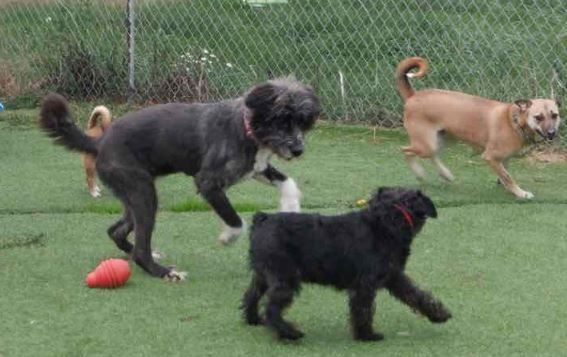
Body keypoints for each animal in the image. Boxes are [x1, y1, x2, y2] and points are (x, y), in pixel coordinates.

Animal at [40, 76, 322, 280]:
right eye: (281, 119)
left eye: (302, 121)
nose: (299, 150)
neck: (246, 127)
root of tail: (99, 142)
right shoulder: (208, 182)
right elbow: (235, 219)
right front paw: (228, 237)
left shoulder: (256, 168)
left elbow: (288, 182)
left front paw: (291, 206)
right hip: (143, 194)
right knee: (138, 245)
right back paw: (163, 272)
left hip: (134, 196)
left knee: (116, 231)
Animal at [243, 186, 452, 340]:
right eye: (389, 209)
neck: (385, 224)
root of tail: (262, 219)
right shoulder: (365, 284)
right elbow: (363, 310)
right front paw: (366, 335)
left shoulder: (394, 277)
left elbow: (416, 295)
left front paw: (438, 314)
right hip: (286, 278)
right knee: (272, 309)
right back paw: (289, 333)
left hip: (264, 275)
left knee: (251, 295)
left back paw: (253, 319)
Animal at [398, 57, 560, 199]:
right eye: (538, 117)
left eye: (555, 115)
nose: (552, 133)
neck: (513, 121)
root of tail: (413, 96)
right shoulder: (490, 157)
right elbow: (508, 177)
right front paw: (521, 193)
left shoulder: (503, 159)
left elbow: (504, 175)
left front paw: (507, 188)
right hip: (426, 144)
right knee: (406, 151)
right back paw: (419, 172)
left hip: (443, 139)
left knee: (433, 156)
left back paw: (445, 174)